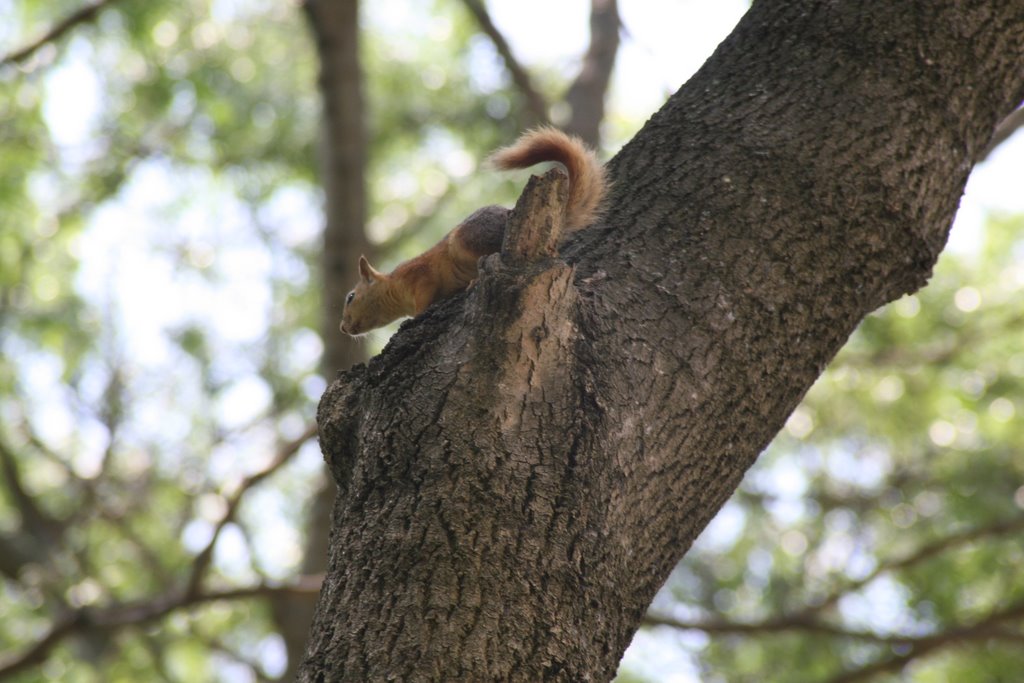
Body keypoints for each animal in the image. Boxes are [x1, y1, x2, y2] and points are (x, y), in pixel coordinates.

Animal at [335, 127, 606, 335]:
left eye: (351, 297)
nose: (343, 328)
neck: (393, 286)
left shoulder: (420, 276)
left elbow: (424, 295)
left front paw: (415, 318)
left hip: (468, 241)